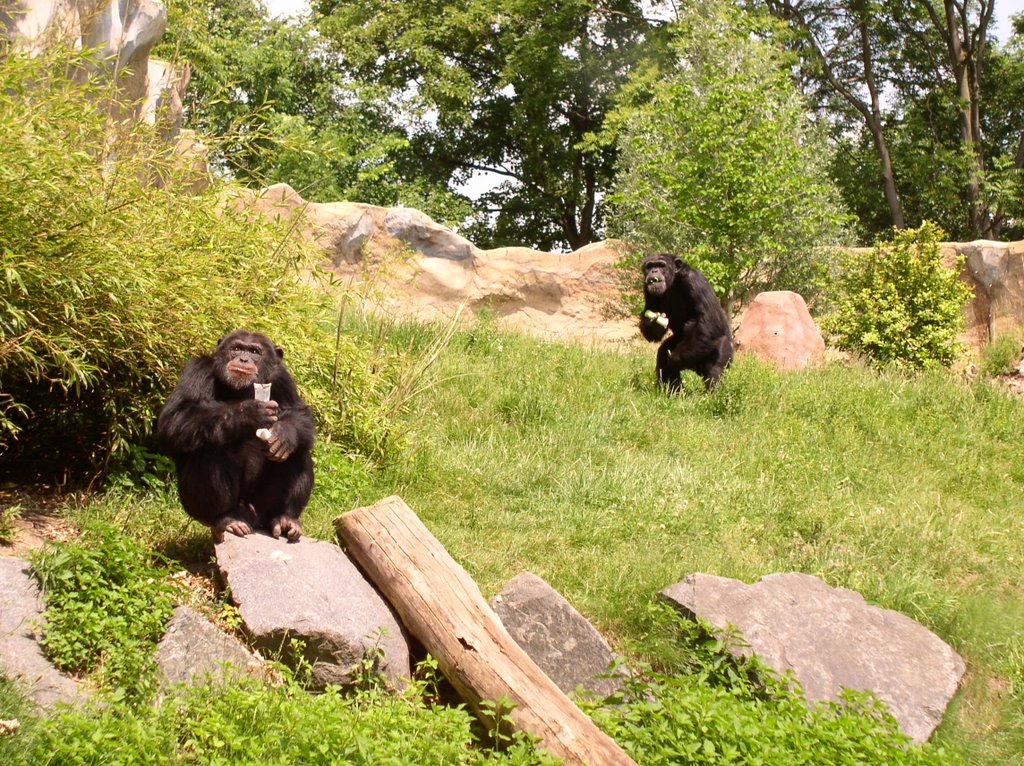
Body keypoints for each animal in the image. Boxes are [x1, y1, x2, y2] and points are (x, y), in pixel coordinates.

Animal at [155, 331, 313, 540]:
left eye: (254, 351)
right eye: (236, 348)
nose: (243, 359)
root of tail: (254, 519)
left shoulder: (282, 378)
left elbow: (300, 413)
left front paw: (284, 433)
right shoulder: (198, 369)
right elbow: (175, 418)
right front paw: (248, 413)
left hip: (262, 508)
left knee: (299, 450)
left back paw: (284, 518)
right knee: (209, 447)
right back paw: (226, 518)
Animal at [634, 253, 733, 391]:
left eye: (661, 265)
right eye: (650, 266)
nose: (654, 271)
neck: (673, 282)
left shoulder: (695, 281)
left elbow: (707, 322)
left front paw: (673, 361)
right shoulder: (646, 287)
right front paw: (653, 323)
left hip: (725, 353)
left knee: (715, 366)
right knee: (663, 352)